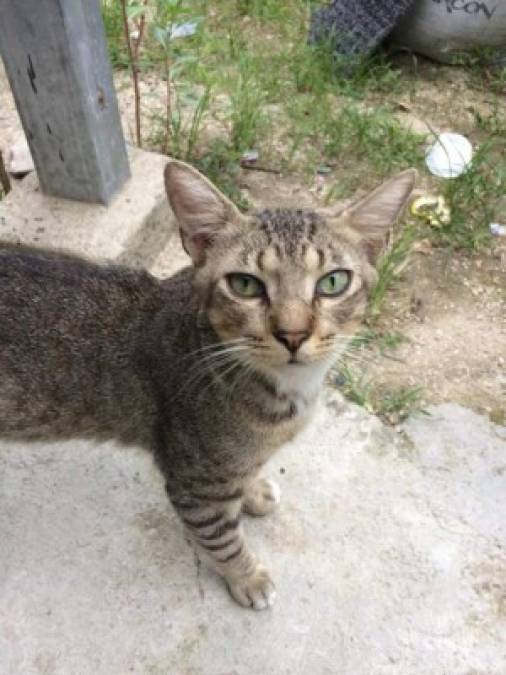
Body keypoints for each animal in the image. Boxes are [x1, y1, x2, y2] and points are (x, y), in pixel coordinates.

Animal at [0, 162, 416, 612]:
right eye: (245, 285)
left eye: (333, 282)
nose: (292, 334)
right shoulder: (195, 486)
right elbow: (223, 541)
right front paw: (248, 578)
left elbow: (247, 474)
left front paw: (253, 491)